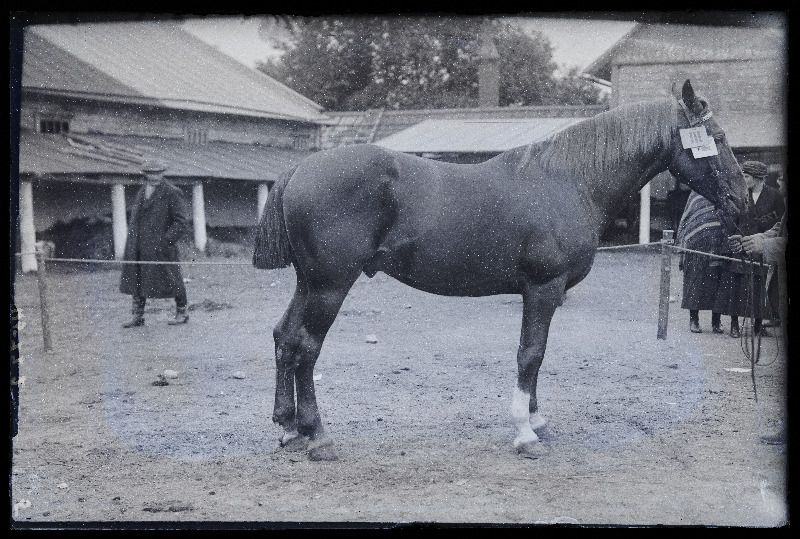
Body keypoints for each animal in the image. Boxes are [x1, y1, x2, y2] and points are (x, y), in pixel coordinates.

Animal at [253, 79, 748, 460]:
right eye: (719, 137)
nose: (741, 201)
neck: (569, 180)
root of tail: (301, 168)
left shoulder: (547, 294)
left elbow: (539, 354)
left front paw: (537, 418)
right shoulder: (543, 288)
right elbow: (530, 354)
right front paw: (525, 434)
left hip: (309, 283)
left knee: (285, 337)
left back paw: (290, 428)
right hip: (330, 285)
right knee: (307, 348)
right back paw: (318, 437)